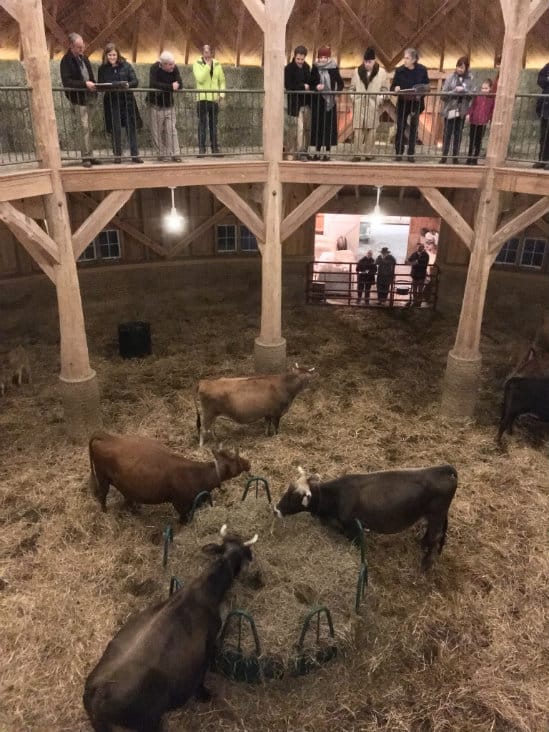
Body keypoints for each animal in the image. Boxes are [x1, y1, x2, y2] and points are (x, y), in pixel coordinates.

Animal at [88, 431, 250, 522]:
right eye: (235, 459)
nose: (248, 463)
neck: (197, 475)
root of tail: (108, 437)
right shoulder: (180, 503)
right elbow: (183, 520)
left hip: (123, 483)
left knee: (126, 497)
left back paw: (134, 510)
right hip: (102, 477)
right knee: (102, 495)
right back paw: (105, 513)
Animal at [274, 464, 458, 570]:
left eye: (293, 497)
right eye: (287, 490)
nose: (276, 509)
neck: (336, 497)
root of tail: (443, 468)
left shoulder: (353, 528)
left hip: (436, 515)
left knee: (435, 538)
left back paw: (425, 565)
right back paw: (422, 545)